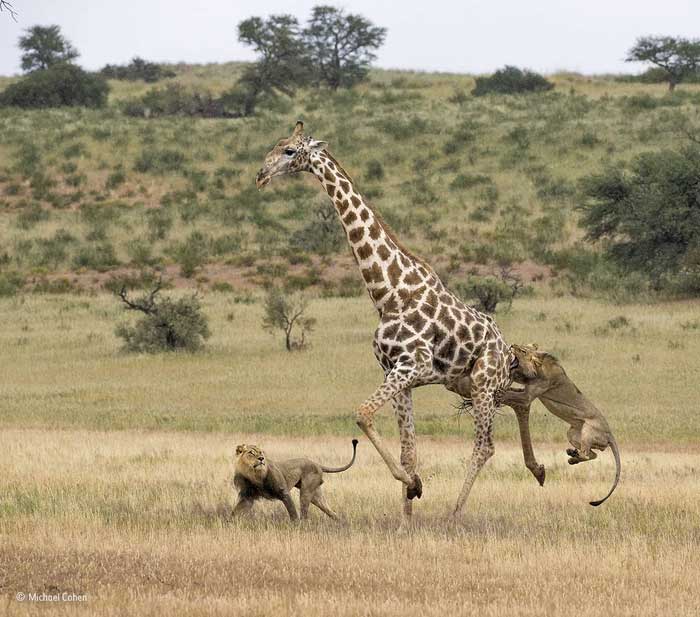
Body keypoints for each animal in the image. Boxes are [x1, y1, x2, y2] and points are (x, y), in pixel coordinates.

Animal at [502, 344, 621, 506]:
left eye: (523, 351)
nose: (512, 345)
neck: (540, 367)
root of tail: (610, 434)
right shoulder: (526, 386)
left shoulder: (528, 396)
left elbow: (510, 395)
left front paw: (497, 393)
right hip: (572, 433)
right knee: (593, 454)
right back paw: (572, 457)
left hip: (588, 430)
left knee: (587, 453)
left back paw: (574, 455)